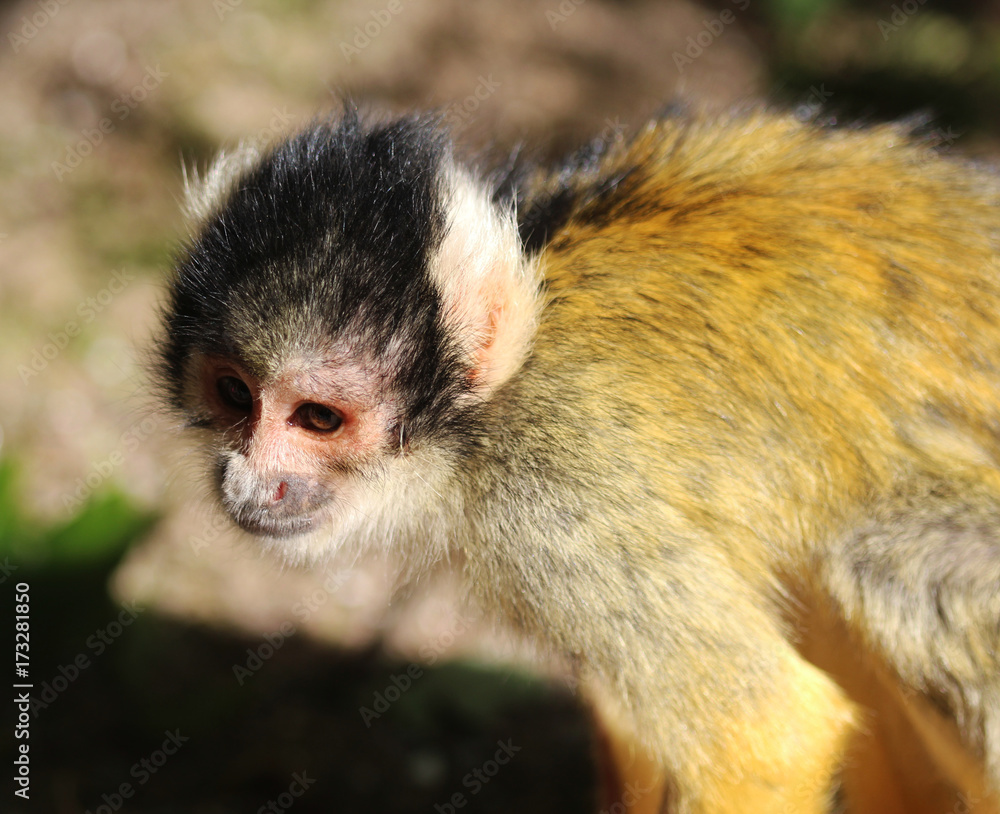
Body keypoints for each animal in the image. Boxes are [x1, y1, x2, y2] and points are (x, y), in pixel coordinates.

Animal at [155, 106, 1000, 814]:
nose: (248, 482)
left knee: (887, 569)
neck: (487, 415)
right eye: (235, 395)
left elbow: (768, 736)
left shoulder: (555, 495)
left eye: (319, 419)